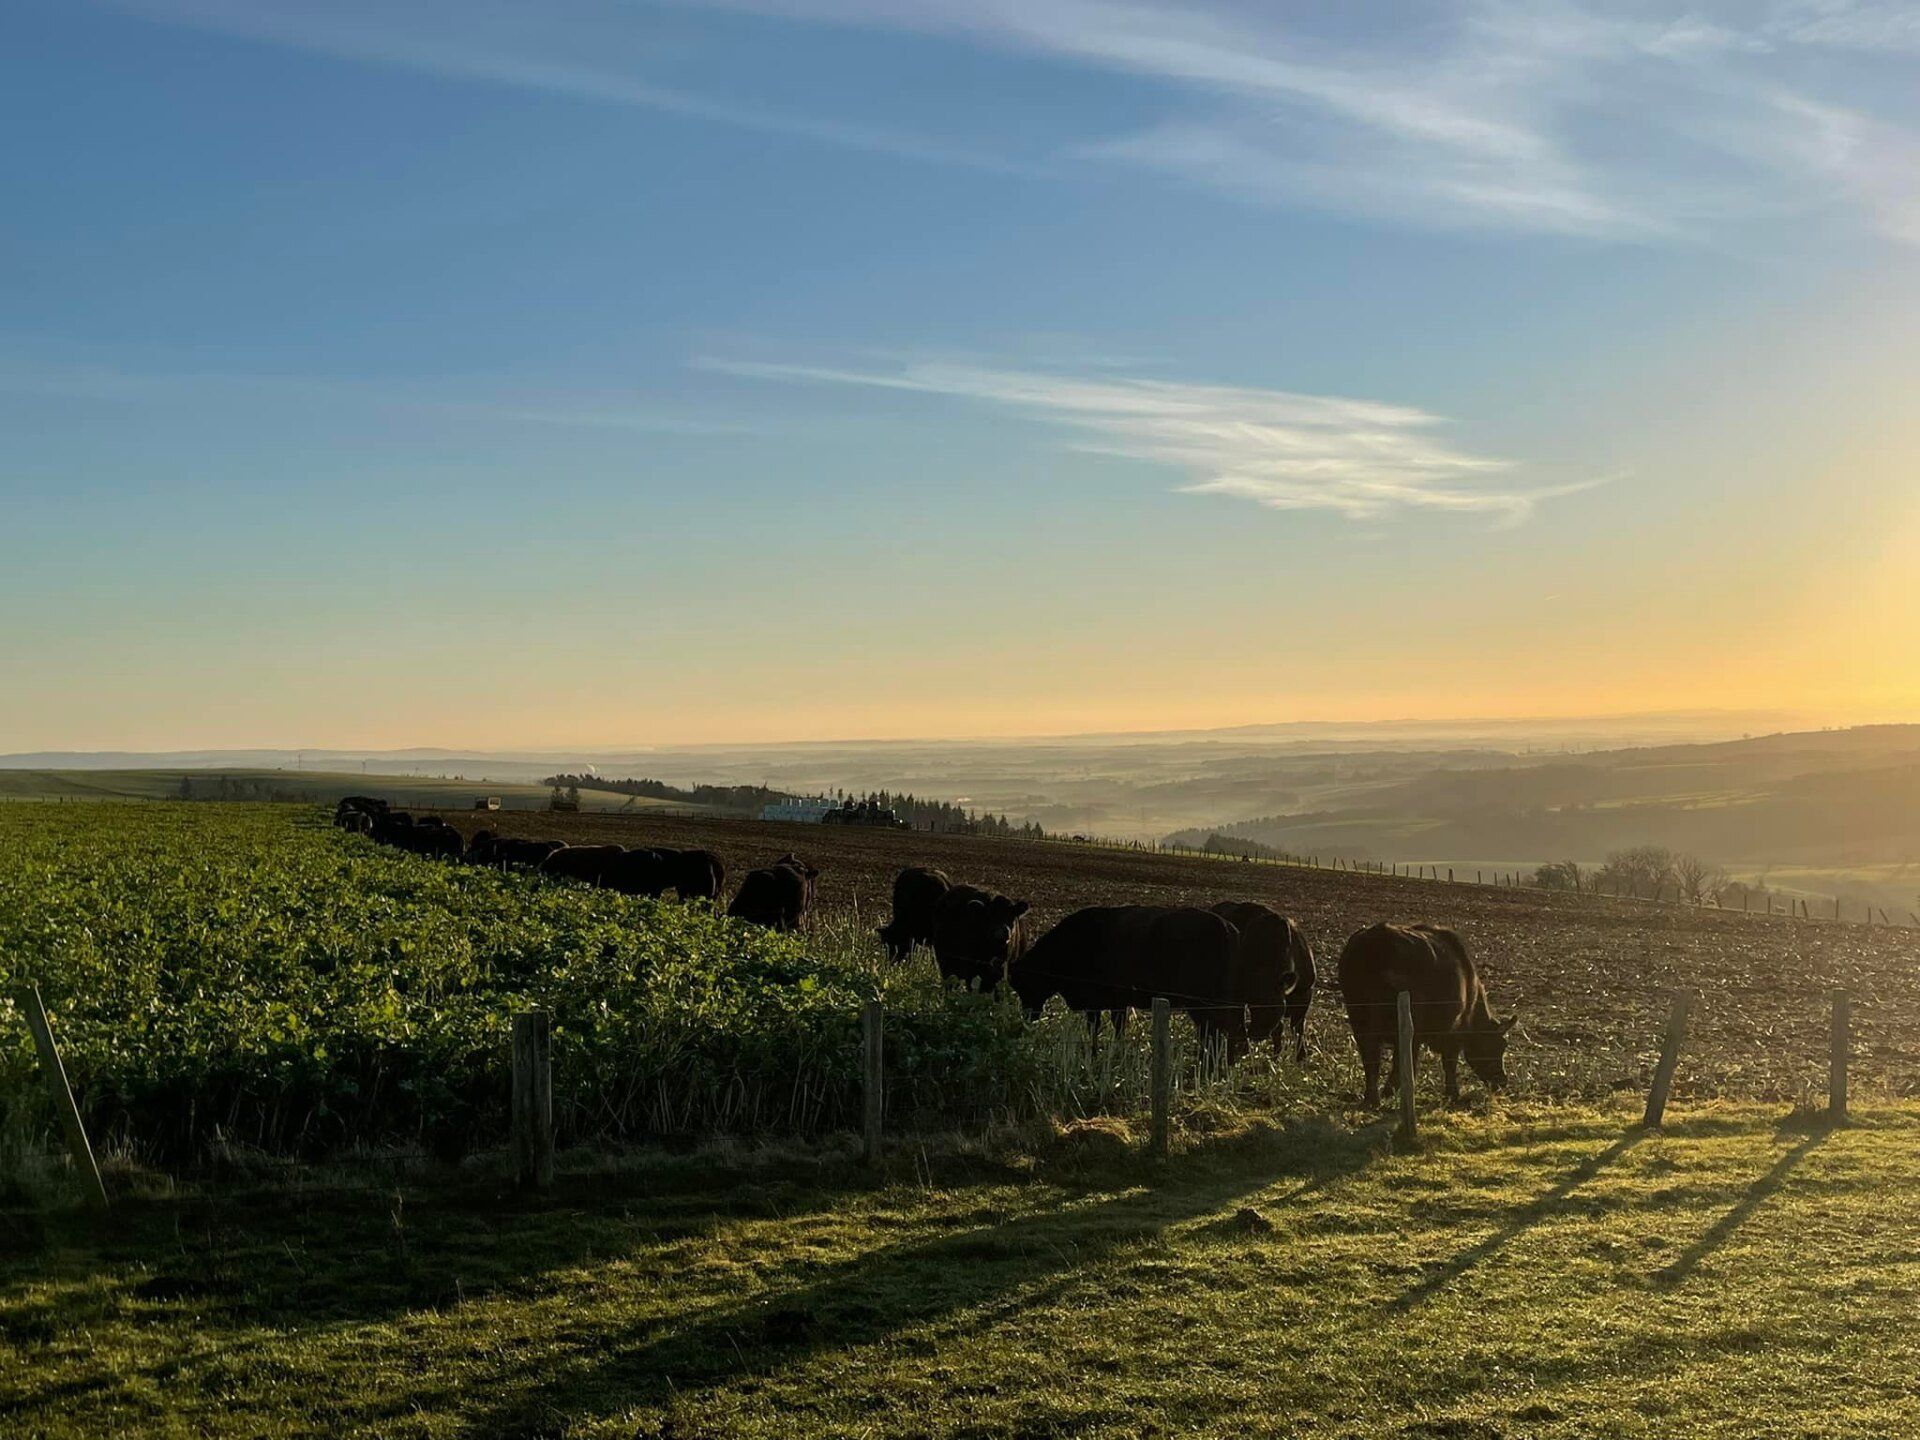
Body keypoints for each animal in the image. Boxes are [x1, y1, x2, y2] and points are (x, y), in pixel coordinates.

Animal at [1008, 905, 1248, 1056]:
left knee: (1213, 1033)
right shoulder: (1116, 1003)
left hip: (1202, 1004)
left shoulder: (1099, 1002)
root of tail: (1227, 927)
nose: (1028, 1016)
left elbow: (1099, 1029)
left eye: (1023, 985)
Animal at [1211, 901, 1315, 1061]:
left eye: (1273, 1005)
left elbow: (1297, 1029)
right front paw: (1276, 1055)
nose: (1256, 1034)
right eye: (1253, 1005)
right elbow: (1278, 1029)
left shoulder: (1305, 994)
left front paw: (1300, 1056)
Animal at [1337, 922, 1514, 1106]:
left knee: (1371, 1058)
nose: (1502, 1082)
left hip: (1360, 1019)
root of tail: (1377, 935)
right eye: (1497, 1046)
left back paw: (1372, 1099)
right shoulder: (1452, 1034)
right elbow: (1448, 1064)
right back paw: (1385, 1093)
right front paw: (1452, 1095)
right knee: (1394, 1060)